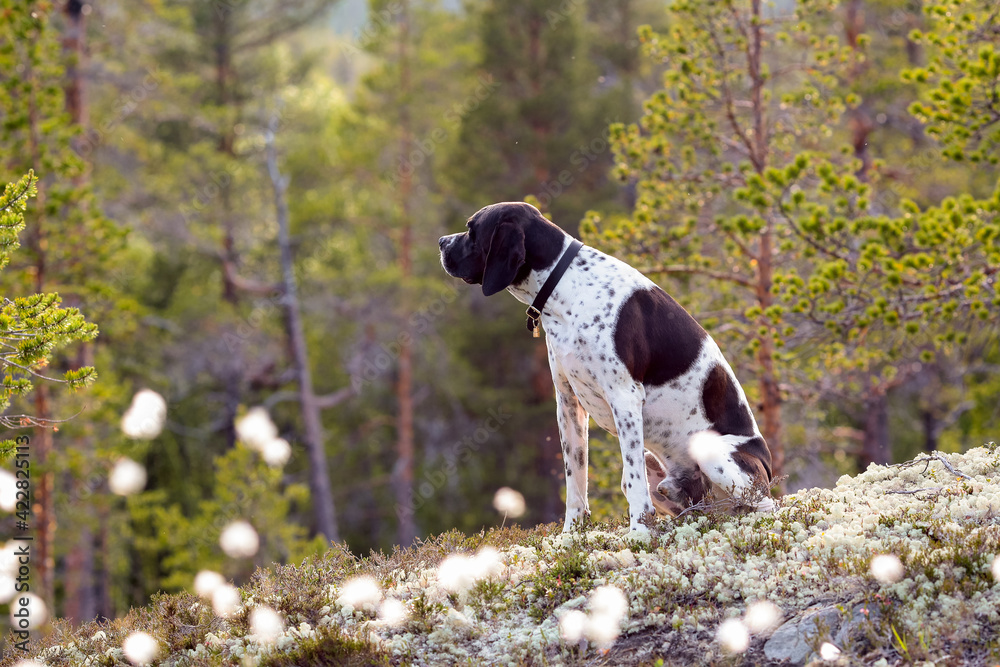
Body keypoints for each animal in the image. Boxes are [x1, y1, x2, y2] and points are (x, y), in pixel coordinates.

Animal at [438, 202, 772, 536]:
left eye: (471, 229)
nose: (441, 242)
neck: (567, 286)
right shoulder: (568, 404)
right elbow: (575, 478)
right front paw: (571, 534)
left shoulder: (625, 398)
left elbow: (632, 481)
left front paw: (638, 533)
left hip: (714, 454)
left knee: (764, 507)